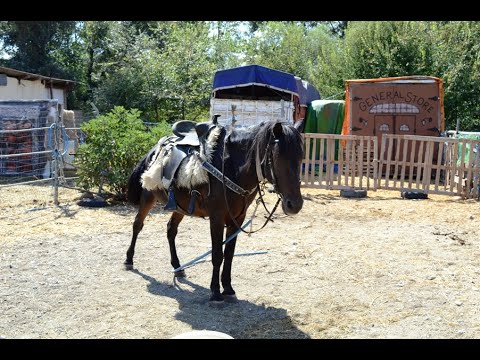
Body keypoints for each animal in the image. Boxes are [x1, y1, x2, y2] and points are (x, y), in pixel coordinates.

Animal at [124, 117, 304, 304]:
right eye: (277, 158)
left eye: (301, 157)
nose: (294, 205)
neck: (231, 167)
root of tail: (153, 151)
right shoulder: (216, 217)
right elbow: (217, 255)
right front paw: (215, 292)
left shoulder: (237, 218)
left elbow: (229, 254)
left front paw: (228, 288)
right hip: (148, 196)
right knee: (137, 224)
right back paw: (129, 259)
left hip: (179, 207)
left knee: (171, 230)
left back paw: (177, 267)